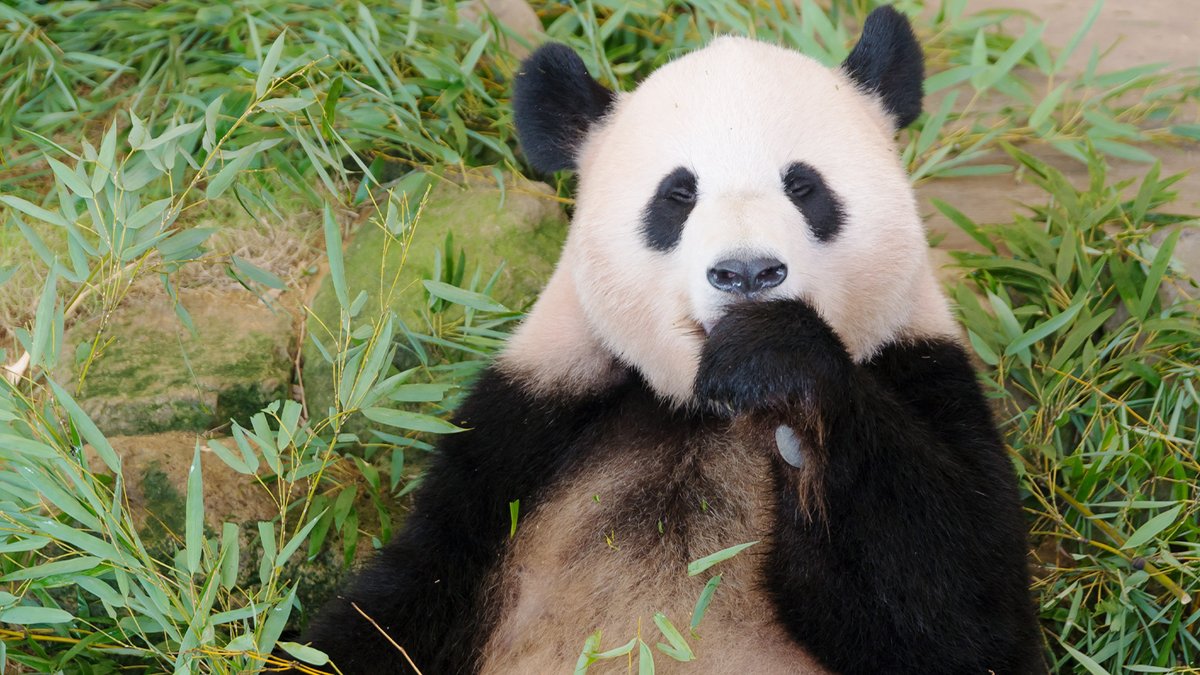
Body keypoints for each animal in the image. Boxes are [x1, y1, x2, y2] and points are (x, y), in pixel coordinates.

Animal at [290, 6, 1041, 672]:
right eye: (677, 196)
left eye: (804, 187)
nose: (747, 272)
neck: (709, 406)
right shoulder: (525, 423)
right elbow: (405, 598)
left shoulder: (922, 371)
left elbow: (965, 611)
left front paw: (781, 365)